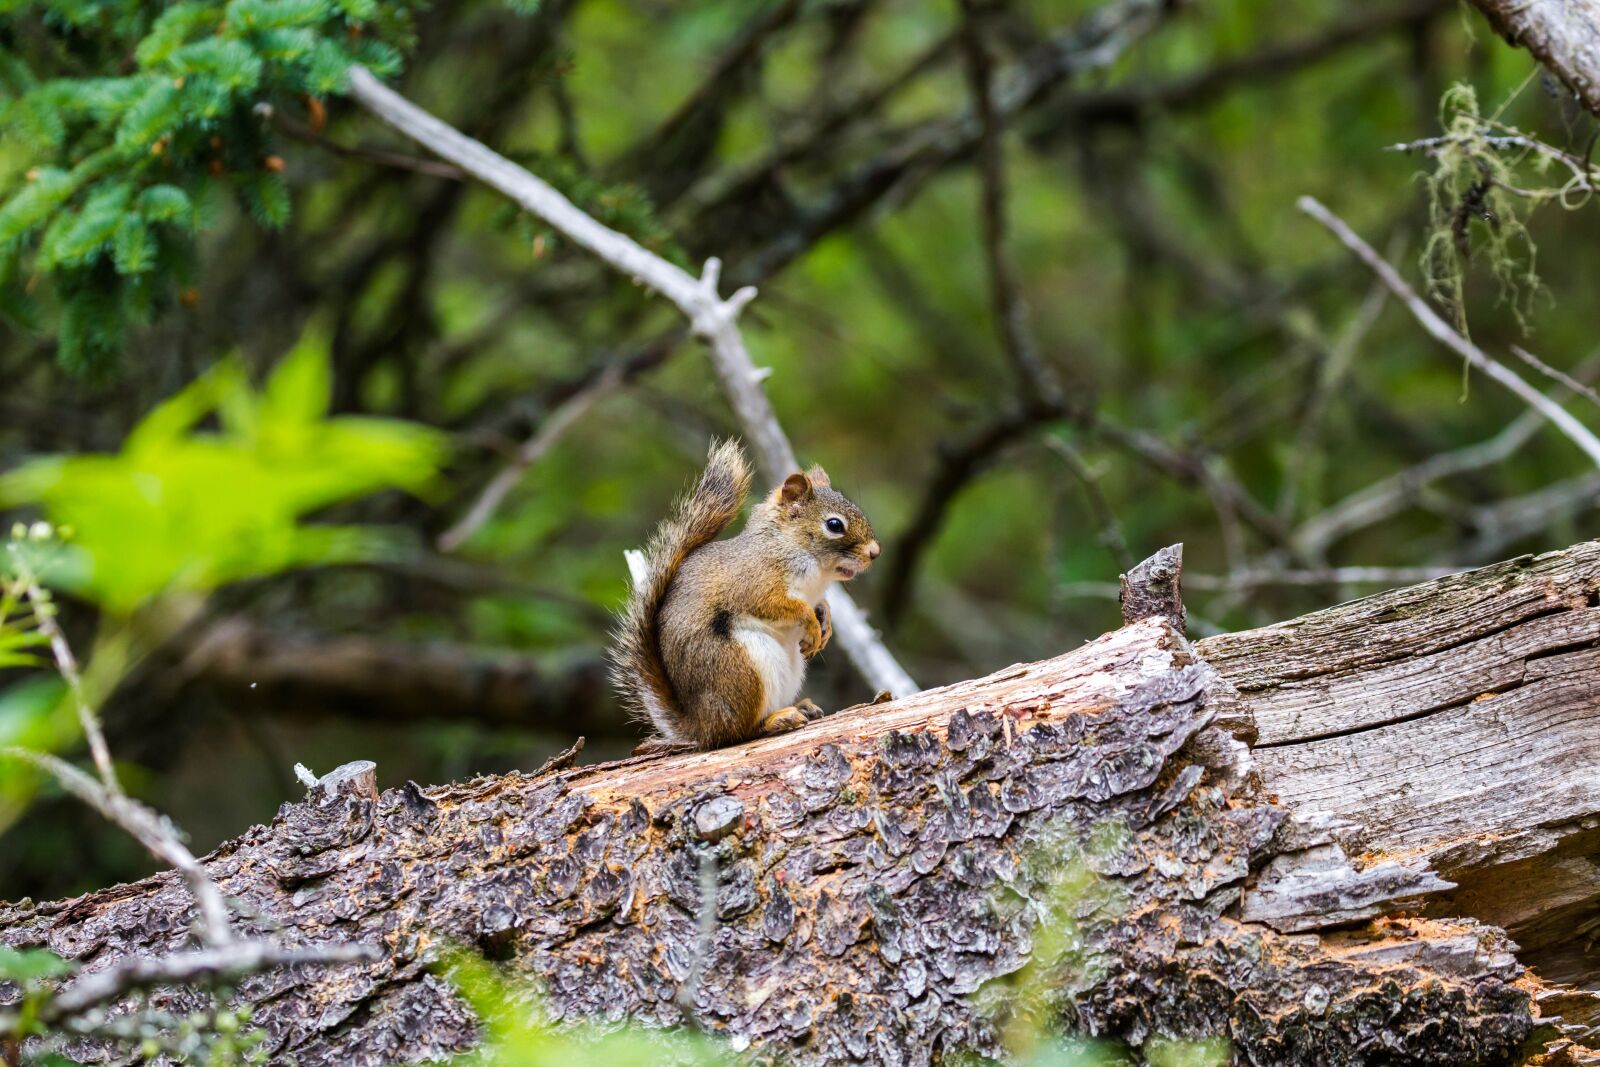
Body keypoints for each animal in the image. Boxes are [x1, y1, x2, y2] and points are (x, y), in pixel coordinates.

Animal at [610, 439, 880, 752]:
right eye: (834, 525)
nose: (875, 552)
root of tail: (699, 727)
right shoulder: (753, 581)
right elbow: (775, 604)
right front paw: (811, 623)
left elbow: (821, 605)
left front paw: (825, 624)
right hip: (743, 671)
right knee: (737, 732)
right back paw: (776, 720)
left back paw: (801, 707)